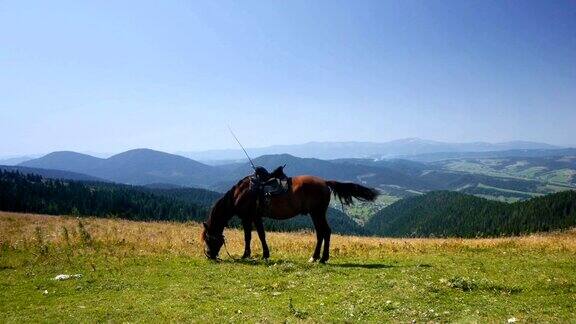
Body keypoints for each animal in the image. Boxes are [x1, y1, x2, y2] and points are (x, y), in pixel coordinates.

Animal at [201, 172, 378, 264]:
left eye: (209, 238)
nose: (209, 255)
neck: (241, 193)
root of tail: (324, 182)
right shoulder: (256, 217)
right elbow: (261, 235)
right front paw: (265, 254)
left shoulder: (248, 217)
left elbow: (249, 237)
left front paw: (246, 255)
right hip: (316, 213)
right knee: (321, 233)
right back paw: (316, 257)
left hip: (317, 213)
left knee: (325, 232)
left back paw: (321, 258)